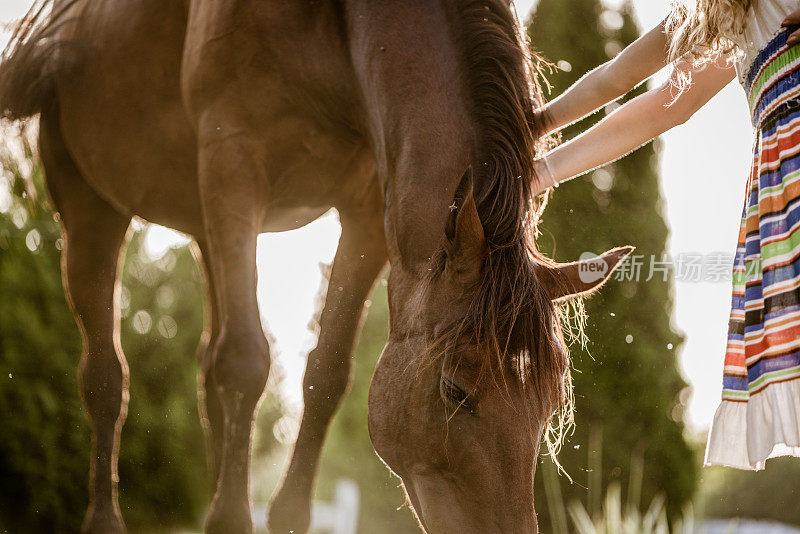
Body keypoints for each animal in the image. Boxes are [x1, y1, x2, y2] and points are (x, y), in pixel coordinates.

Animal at [1, 1, 632, 534]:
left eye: (549, 404)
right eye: (454, 390)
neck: (339, 25)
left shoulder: (367, 213)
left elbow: (325, 374)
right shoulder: (232, 161)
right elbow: (245, 363)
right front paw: (231, 520)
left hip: (208, 225)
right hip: (93, 205)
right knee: (106, 376)